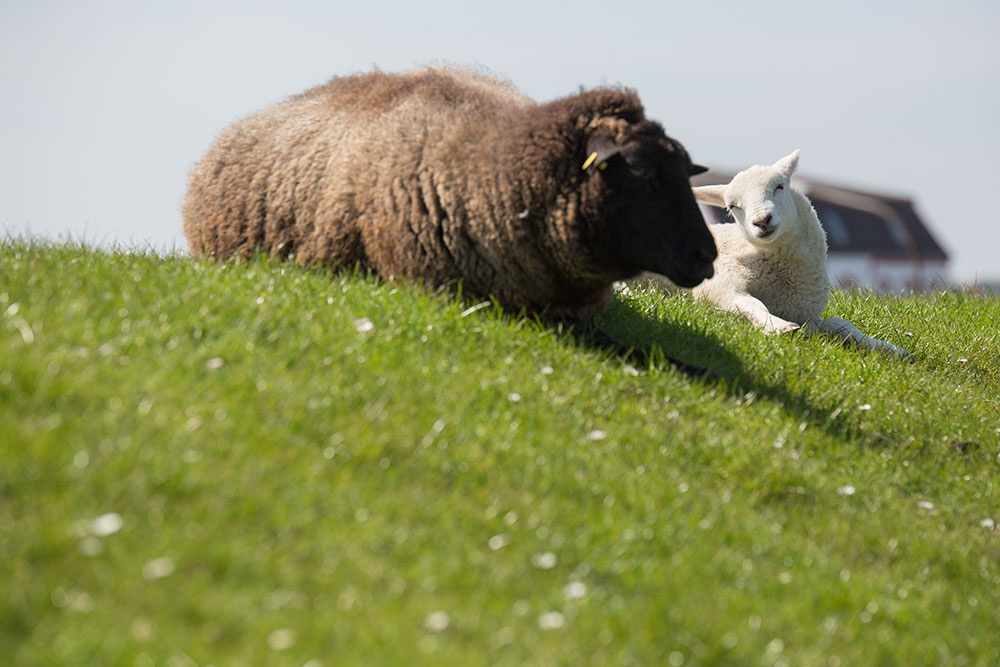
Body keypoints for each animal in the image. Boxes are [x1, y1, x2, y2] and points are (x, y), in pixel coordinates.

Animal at [688, 151, 916, 358]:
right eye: (733, 206)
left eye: (779, 186)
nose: (762, 221)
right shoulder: (720, 287)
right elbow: (751, 305)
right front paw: (779, 327)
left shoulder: (807, 316)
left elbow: (842, 324)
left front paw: (889, 348)